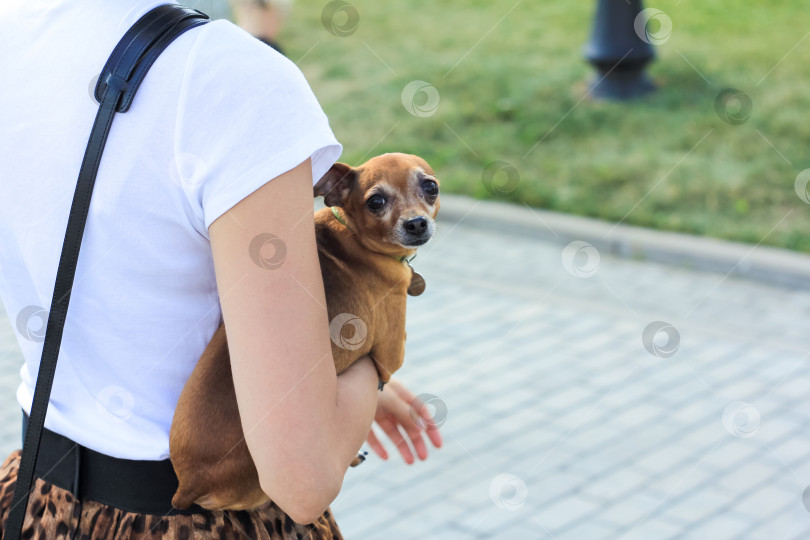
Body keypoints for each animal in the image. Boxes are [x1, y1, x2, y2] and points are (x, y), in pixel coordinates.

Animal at [166, 152, 438, 510]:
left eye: (430, 187)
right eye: (376, 201)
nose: (416, 223)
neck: (351, 234)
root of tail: (188, 483)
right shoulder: (389, 357)